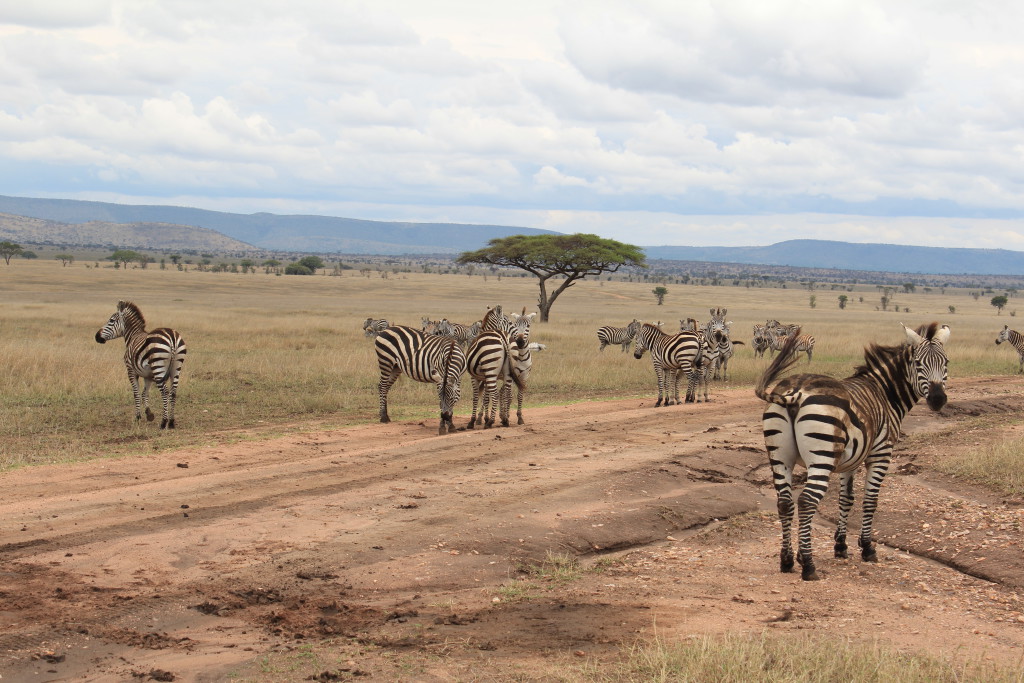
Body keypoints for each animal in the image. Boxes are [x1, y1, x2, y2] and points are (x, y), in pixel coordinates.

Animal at [94, 301, 188, 430]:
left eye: (111, 320)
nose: (97, 336)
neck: (133, 335)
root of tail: (172, 338)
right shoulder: (148, 376)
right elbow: (145, 393)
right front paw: (149, 414)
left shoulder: (131, 371)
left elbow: (136, 393)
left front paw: (138, 417)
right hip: (176, 367)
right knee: (173, 392)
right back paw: (172, 422)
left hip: (158, 366)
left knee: (165, 391)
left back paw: (163, 422)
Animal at [753, 323, 950, 581]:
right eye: (918, 364)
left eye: (946, 362)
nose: (938, 400)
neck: (885, 394)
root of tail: (795, 391)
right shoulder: (880, 454)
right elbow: (870, 501)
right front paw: (867, 548)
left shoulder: (851, 461)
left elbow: (845, 500)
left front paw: (840, 546)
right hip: (821, 456)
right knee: (806, 501)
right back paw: (808, 565)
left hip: (779, 456)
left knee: (785, 502)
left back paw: (786, 560)